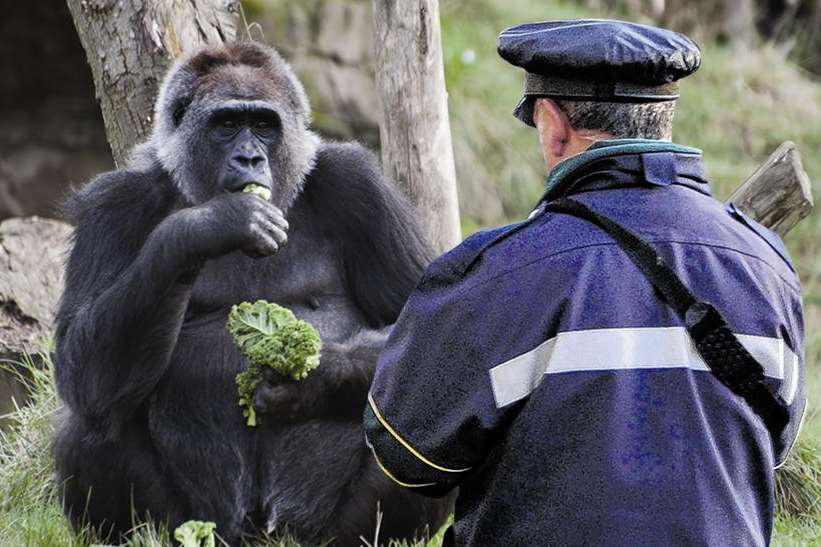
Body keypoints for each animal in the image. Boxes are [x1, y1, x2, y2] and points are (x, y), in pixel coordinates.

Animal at [52, 42, 448, 547]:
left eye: (262, 125)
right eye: (226, 125)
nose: (249, 160)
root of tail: (263, 534)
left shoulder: (361, 186)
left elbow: (439, 333)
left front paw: (311, 381)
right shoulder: (112, 202)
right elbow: (79, 365)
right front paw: (202, 228)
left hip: (317, 533)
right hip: (203, 526)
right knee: (91, 423)